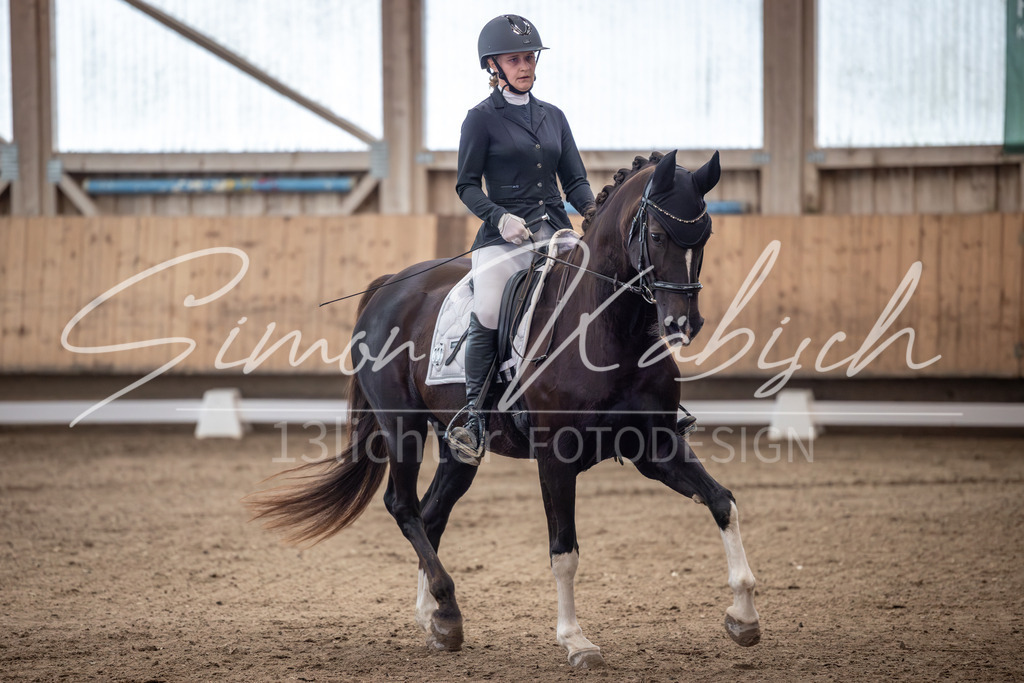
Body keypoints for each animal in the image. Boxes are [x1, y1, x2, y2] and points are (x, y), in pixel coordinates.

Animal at [249, 150, 761, 669]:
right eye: (656, 235)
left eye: (706, 235)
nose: (683, 324)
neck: (610, 329)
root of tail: (390, 286)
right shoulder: (556, 458)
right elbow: (564, 550)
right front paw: (575, 640)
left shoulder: (655, 446)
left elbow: (723, 502)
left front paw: (743, 616)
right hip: (402, 428)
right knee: (404, 506)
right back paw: (447, 607)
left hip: (458, 447)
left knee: (431, 512)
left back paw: (434, 617)